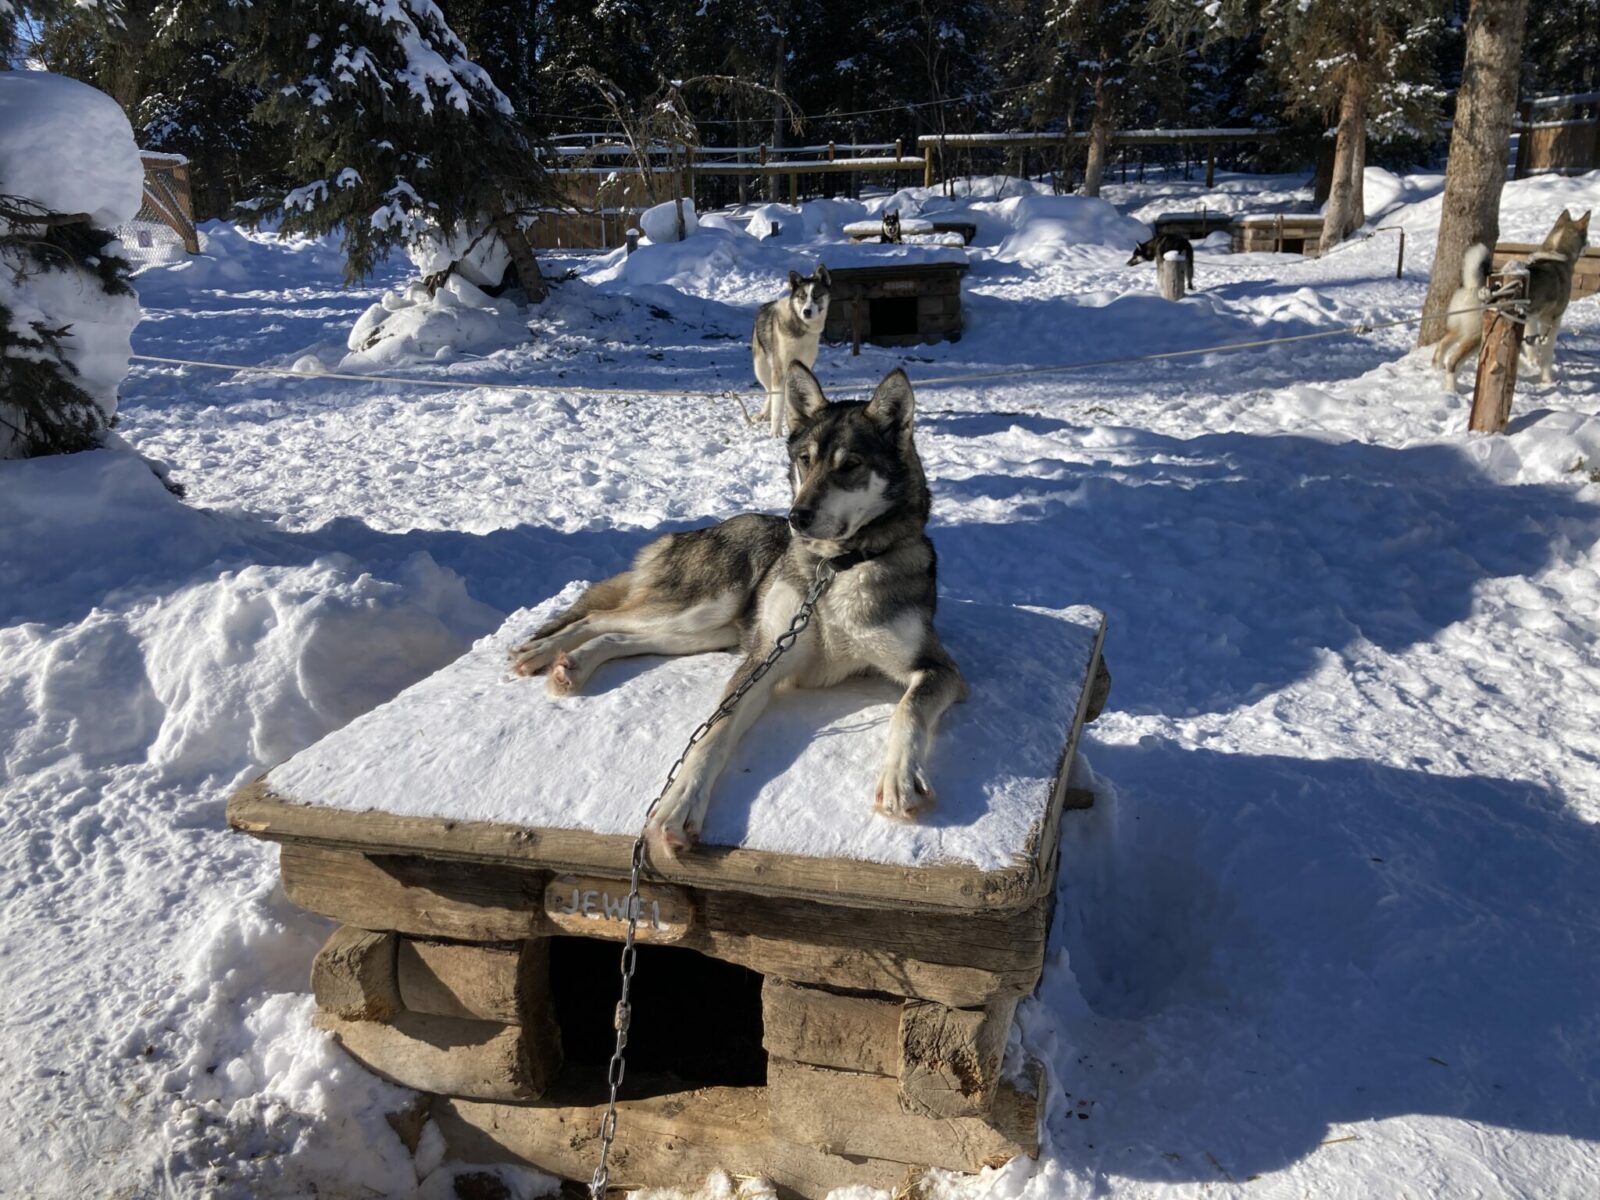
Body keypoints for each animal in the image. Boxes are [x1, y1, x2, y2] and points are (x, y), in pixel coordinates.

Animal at [508, 361, 960, 857]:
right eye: (805, 460)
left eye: (851, 466)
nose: (796, 517)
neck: (836, 568)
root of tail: (692, 531)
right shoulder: (766, 658)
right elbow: (715, 731)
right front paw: (679, 802)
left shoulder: (938, 669)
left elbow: (908, 710)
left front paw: (899, 778)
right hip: (703, 609)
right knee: (597, 618)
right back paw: (542, 653)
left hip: (706, 630)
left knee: (615, 635)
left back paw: (572, 664)